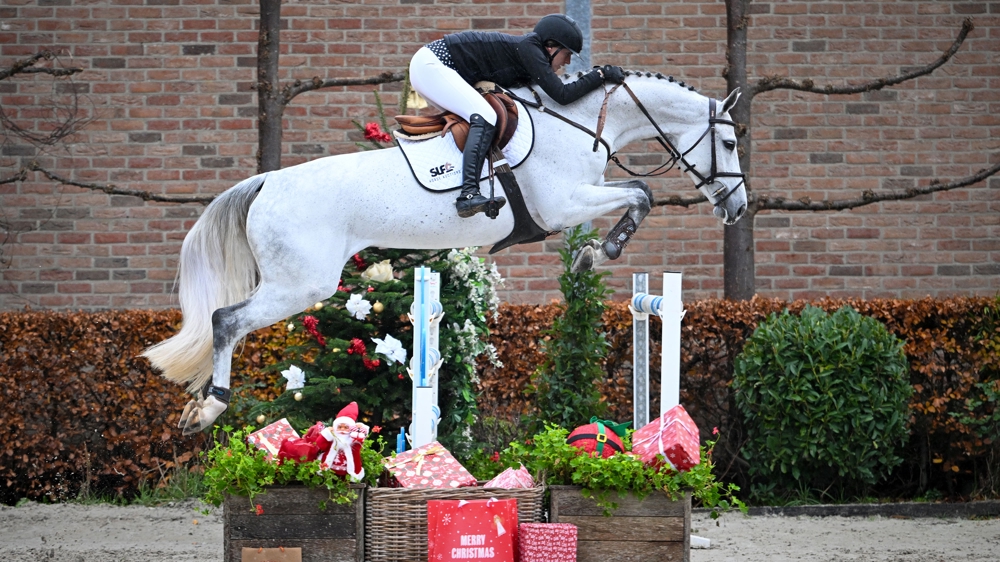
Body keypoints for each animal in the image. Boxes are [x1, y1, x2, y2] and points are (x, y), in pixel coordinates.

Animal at [145, 69, 748, 428]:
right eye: (729, 141)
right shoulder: (562, 205)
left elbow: (638, 192)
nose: (737, 208)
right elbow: (642, 193)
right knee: (225, 320)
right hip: (301, 284)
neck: (579, 125)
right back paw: (207, 409)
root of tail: (266, 181)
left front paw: (594, 253)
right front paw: (597, 253)